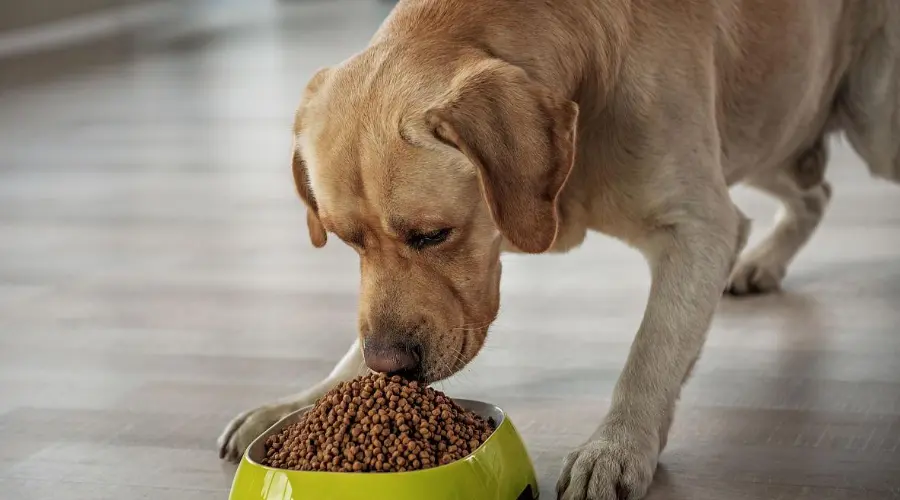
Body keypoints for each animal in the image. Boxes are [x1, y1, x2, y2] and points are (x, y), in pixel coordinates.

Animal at [220, 1, 900, 498]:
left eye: (432, 234)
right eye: (345, 240)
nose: (393, 365)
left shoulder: (699, 227)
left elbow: (650, 354)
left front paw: (615, 447)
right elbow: (351, 352)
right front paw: (300, 402)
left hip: (866, 124)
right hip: (770, 132)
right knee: (815, 189)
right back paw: (764, 261)